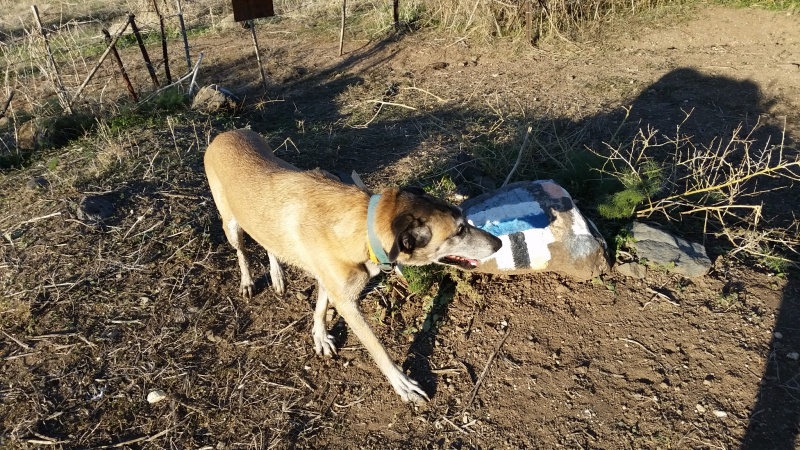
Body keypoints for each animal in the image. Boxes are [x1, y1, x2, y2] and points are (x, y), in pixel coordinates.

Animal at [203, 128, 500, 402]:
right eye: (458, 231)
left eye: (463, 220)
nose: (498, 243)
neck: (365, 227)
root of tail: (226, 133)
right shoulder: (347, 302)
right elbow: (377, 347)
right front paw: (402, 383)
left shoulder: (333, 283)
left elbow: (321, 307)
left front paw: (320, 335)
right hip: (231, 225)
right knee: (242, 252)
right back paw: (248, 281)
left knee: (268, 244)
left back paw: (277, 274)